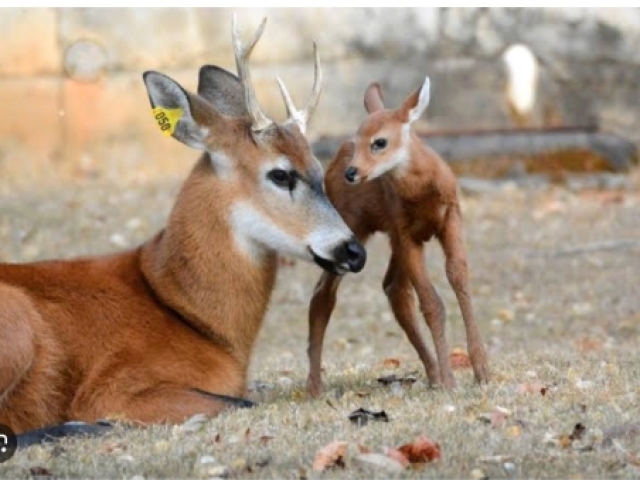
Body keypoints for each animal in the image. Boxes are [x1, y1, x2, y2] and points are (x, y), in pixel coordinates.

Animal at [0, 16, 364, 438]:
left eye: (319, 168)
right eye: (280, 174)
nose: (354, 251)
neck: (183, 307)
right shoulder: (113, 388)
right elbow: (241, 402)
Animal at [304, 76, 490, 398]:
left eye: (379, 142)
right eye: (357, 140)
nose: (352, 173)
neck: (422, 194)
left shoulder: (450, 217)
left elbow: (459, 278)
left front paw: (481, 371)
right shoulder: (405, 231)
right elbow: (432, 303)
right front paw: (451, 381)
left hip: (390, 239)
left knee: (393, 288)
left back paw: (432, 374)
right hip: (353, 226)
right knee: (323, 294)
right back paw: (314, 386)